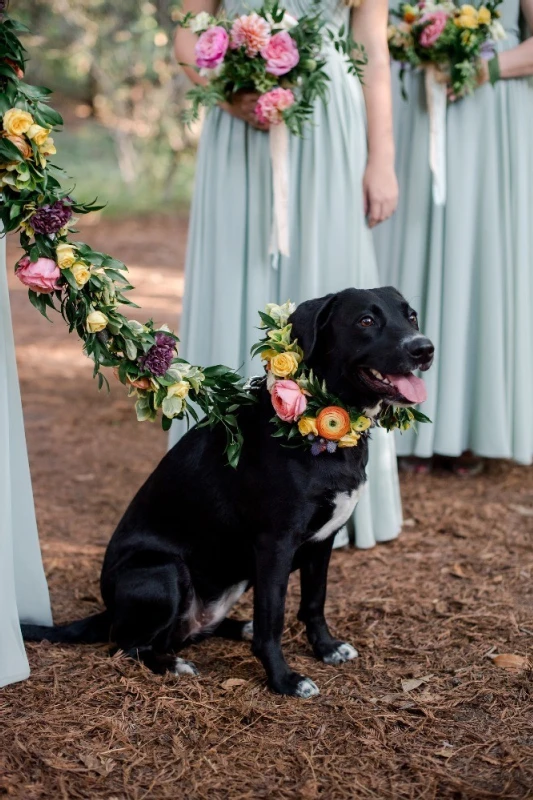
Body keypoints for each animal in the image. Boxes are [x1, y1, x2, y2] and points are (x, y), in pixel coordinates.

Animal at [22, 290, 434, 700]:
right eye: (366, 320)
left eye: (411, 316)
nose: (424, 349)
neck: (318, 430)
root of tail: (109, 609)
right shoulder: (275, 545)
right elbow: (272, 620)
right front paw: (284, 680)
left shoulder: (324, 541)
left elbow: (314, 601)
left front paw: (327, 648)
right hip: (163, 571)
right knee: (126, 644)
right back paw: (173, 664)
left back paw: (236, 628)